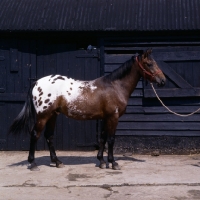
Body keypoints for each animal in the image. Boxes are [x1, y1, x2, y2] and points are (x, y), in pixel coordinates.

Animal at [8, 48, 166, 170]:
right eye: (149, 64)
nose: (163, 81)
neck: (115, 86)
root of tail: (36, 83)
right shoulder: (113, 117)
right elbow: (111, 139)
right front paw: (113, 163)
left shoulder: (105, 117)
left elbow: (102, 138)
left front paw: (101, 161)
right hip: (43, 115)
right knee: (35, 134)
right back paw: (33, 163)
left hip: (53, 114)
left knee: (49, 136)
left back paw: (57, 162)